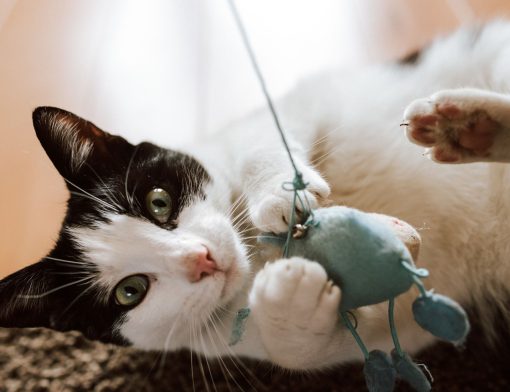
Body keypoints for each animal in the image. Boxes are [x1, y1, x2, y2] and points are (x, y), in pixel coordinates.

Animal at [0, 20, 510, 370]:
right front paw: (292, 296)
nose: (201, 259)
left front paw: (280, 198)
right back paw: (468, 131)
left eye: (158, 202)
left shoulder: (304, 101)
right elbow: (307, 349)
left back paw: (464, 122)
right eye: (131, 291)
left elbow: (262, 139)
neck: (254, 252)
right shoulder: (392, 329)